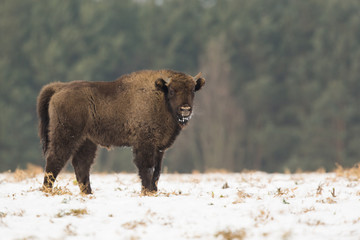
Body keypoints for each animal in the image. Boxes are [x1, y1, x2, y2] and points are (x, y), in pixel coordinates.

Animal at [37, 69, 205, 193]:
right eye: (172, 90)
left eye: (192, 90)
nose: (185, 109)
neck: (160, 98)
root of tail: (59, 88)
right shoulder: (145, 144)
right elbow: (147, 168)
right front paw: (147, 191)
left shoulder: (159, 148)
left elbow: (157, 171)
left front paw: (153, 190)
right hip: (66, 135)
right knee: (55, 160)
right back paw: (47, 190)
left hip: (87, 141)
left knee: (81, 165)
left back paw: (88, 193)